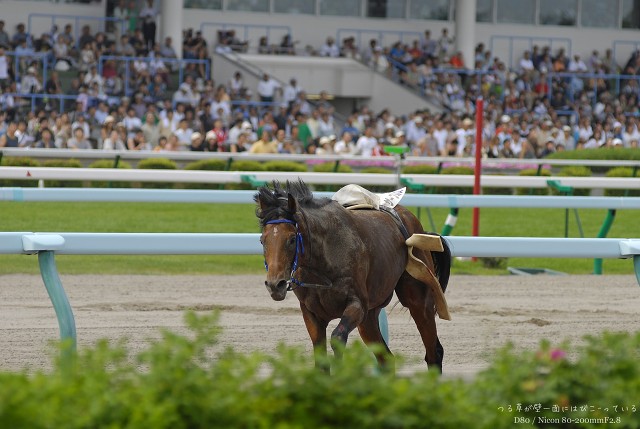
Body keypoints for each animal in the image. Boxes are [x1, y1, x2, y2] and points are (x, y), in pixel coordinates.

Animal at [255, 181, 450, 372]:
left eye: (292, 239)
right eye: (262, 240)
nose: (275, 285)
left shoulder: (357, 305)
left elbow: (337, 336)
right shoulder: (311, 312)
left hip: (418, 300)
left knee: (434, 352)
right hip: (370, 317)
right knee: (387, 359)